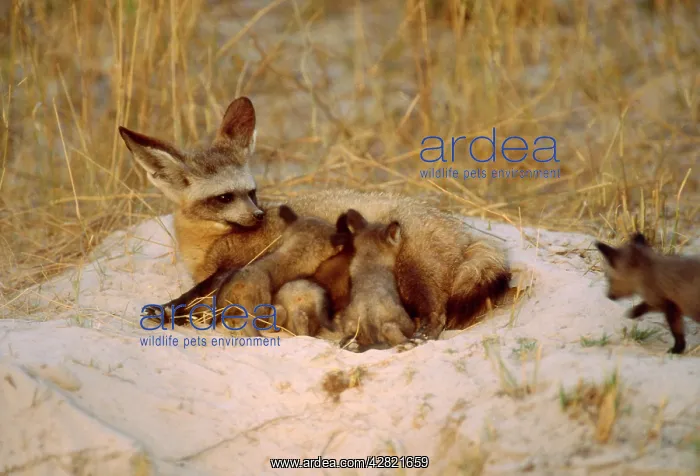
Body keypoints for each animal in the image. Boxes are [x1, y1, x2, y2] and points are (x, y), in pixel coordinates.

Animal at [336, 209, 415, 350]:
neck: (370, 260)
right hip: (404, 321)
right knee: (390, 329)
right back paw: (408, 343)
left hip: (349, 321)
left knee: (350, 334)